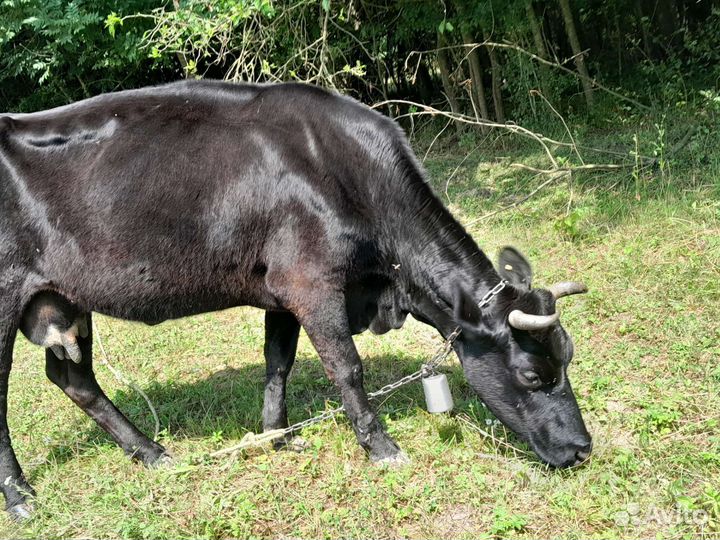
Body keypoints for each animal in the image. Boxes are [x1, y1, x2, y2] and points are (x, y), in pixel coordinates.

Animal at [0, 80, 591, 519]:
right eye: (533, 375)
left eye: (567, 358)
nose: (583, 449)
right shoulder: (311, 282)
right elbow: (347, 368)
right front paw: (383, 450)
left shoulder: (280, 292)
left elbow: (277, 362)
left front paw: (276, 437)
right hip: (6, 298)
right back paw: (21, 497)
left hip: (65, 299)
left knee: (73, 377)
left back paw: (153, 454)